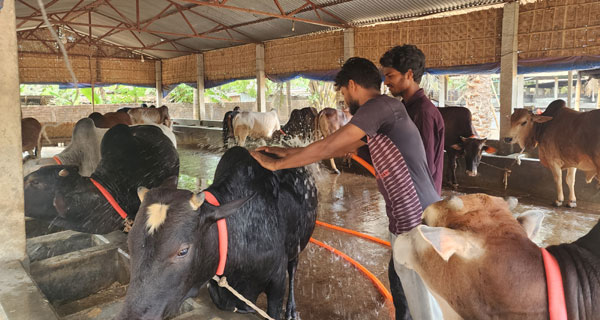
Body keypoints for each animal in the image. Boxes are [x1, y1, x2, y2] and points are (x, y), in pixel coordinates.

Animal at [114, 148, 316, 320]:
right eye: (129, 242)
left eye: (183, 251)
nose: (131, 316)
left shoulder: (277, 281)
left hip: (298, 244)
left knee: (293, 267)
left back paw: (291, 310)